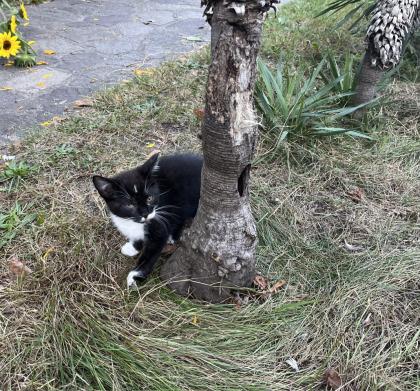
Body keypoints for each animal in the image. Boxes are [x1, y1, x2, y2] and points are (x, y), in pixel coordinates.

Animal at [92, 153, 203, 288]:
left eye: (149, 198)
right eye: (130, 205)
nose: (145, 214)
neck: (133, 221)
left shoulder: (160, 225)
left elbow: (150, 253)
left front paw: (135, 276)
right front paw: (133, 247)